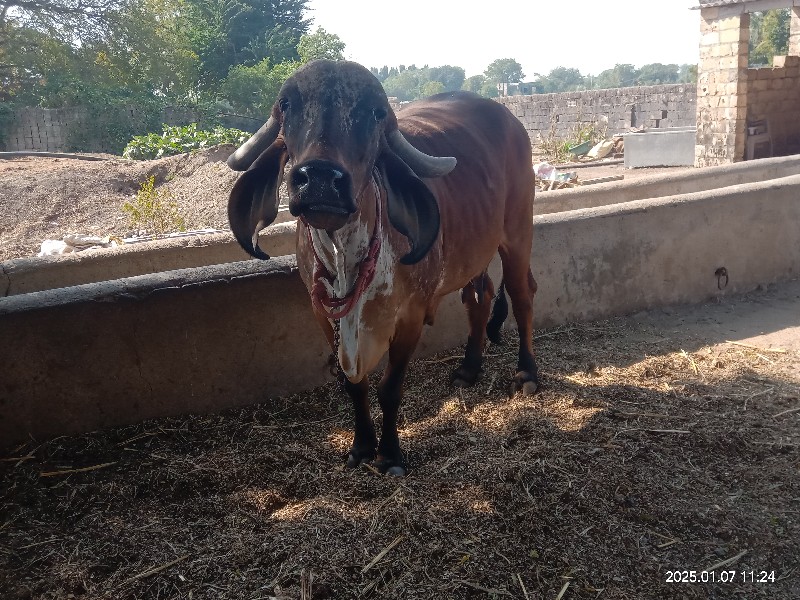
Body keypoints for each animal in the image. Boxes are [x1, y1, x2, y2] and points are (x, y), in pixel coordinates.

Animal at [227, 61, 536, 474]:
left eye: (375, 113)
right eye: (286, 104)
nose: (320, 179)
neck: (345, 258)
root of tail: (509, 119)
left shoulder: (410, 315)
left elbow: (390, 388)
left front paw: (390, 454)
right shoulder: (323, 316)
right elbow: (353, 385)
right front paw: (361, 446)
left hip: (517, 234)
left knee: (521, 296)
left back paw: (527, 373)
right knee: (479, 298)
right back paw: (469, 369)